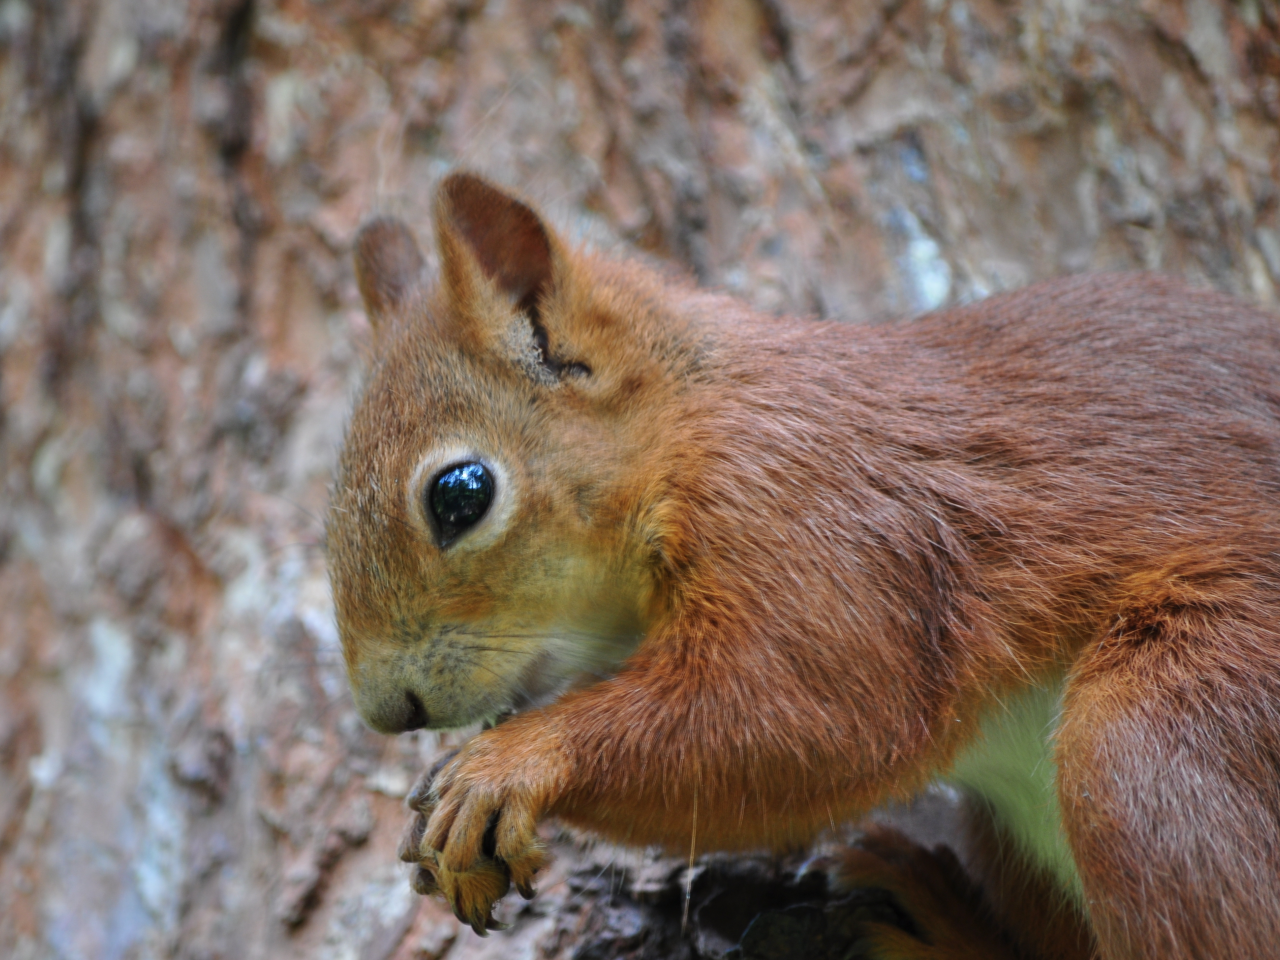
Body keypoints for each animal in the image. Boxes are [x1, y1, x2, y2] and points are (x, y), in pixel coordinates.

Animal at [322, 175, 1280, 960]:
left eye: (460, 494)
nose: (388, 711)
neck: (690, 424)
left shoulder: (808, 515)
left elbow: (813, 714)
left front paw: (507, 762)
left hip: (1162, 735)